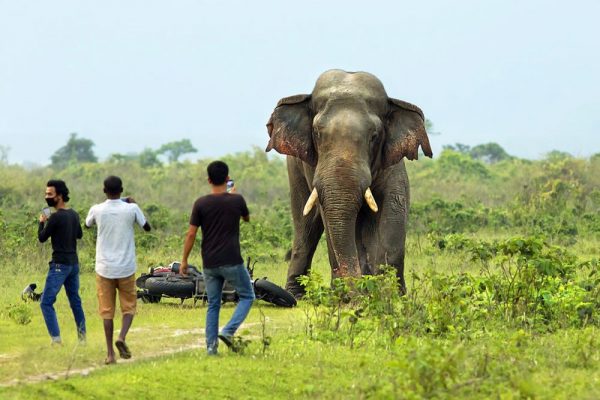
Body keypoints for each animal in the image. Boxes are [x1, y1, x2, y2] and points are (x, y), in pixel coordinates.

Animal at [264, 71, 428, 296]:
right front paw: (347, 294)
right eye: (317, 133)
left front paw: (391, 294)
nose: (357, 288)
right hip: (294, 168)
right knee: (306, 227)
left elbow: (394, 206)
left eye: (374, 136)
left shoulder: (392, 161)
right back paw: (295, 294)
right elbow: (326, 216)